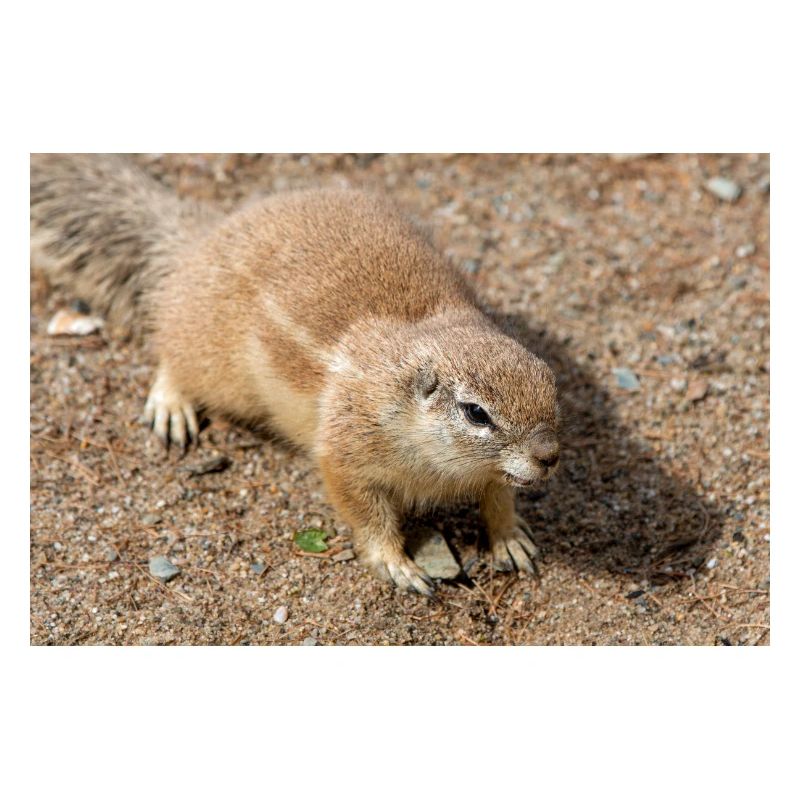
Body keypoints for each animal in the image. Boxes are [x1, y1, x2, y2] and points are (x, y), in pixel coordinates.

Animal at [30, 154, 561, 595]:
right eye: (476, 413)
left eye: (550, 383)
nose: (550, 456)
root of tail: (199, 240)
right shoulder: (345, 457)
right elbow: (368, 517)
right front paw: (398, 566)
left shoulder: (493, 472)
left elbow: (499, 495)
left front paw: (509, 538)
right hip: (216, 366)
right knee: (170, 349)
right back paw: (171, 404)